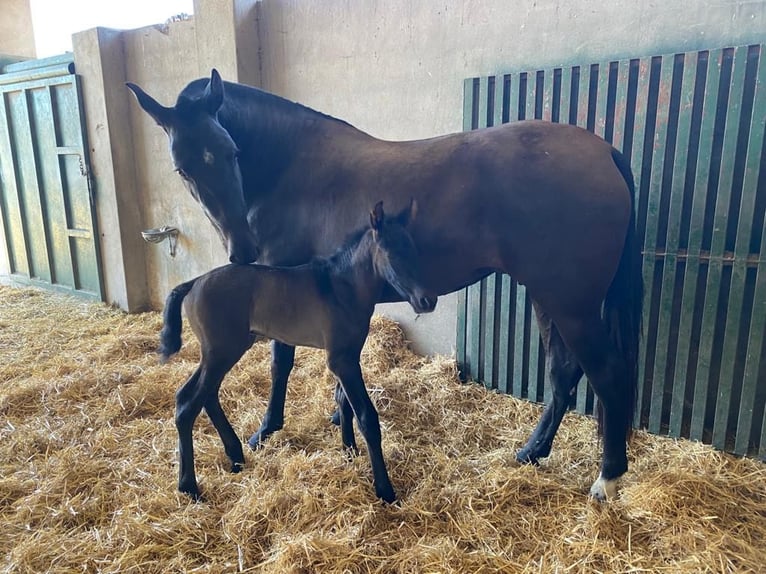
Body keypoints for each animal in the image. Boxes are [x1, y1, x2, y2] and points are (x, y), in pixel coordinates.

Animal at [159, 201, 435, 502]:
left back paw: (236, 456)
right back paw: (189, 486)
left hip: (222, 351)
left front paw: (349, 452)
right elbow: (366, 417)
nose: (427, 300)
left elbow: (344, 403)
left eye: (414, 249)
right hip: (221, 351)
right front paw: (384, 489)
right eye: (392, 252)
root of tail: (193, 283)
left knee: (204, 395)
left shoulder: (349, 354)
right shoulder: (341, 359)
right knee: (187, 403)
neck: (342, 288)